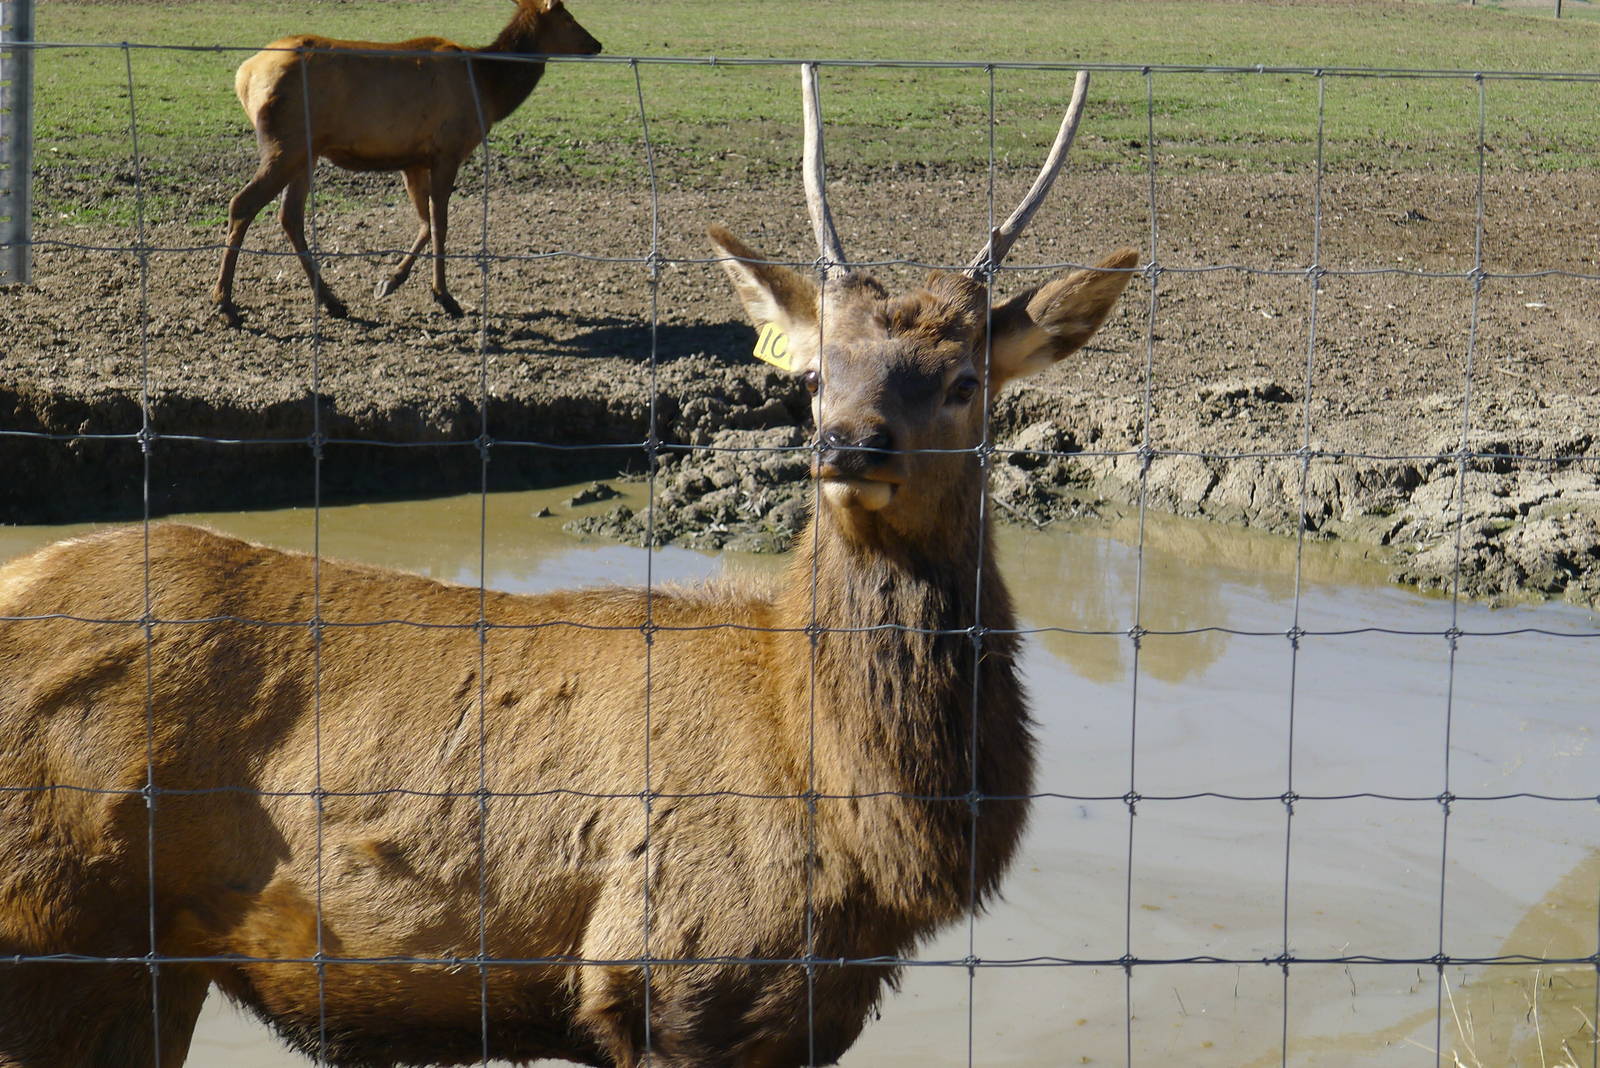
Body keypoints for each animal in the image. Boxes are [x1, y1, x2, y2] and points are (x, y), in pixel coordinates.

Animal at [1, 67, 1135, 1067]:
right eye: (815, 374)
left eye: (962, 381)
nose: (848, 444)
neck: (857, 820)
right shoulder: (673, 978)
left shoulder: (805, 1016)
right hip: (50, 928)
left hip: (143, 966)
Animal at [210, 0, 601, 328]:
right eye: (568, 16)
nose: (596, 44)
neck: (490, 89)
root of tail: (243, 76)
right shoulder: (447, 150)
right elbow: (441, 224)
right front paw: (445, 296)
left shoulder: (413, 160)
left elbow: (425, 223)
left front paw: (390, 281)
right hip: (286, 144)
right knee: (242, 203)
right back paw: (225, 304)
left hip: (306, 152)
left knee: (289, 216)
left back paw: (332, 302)